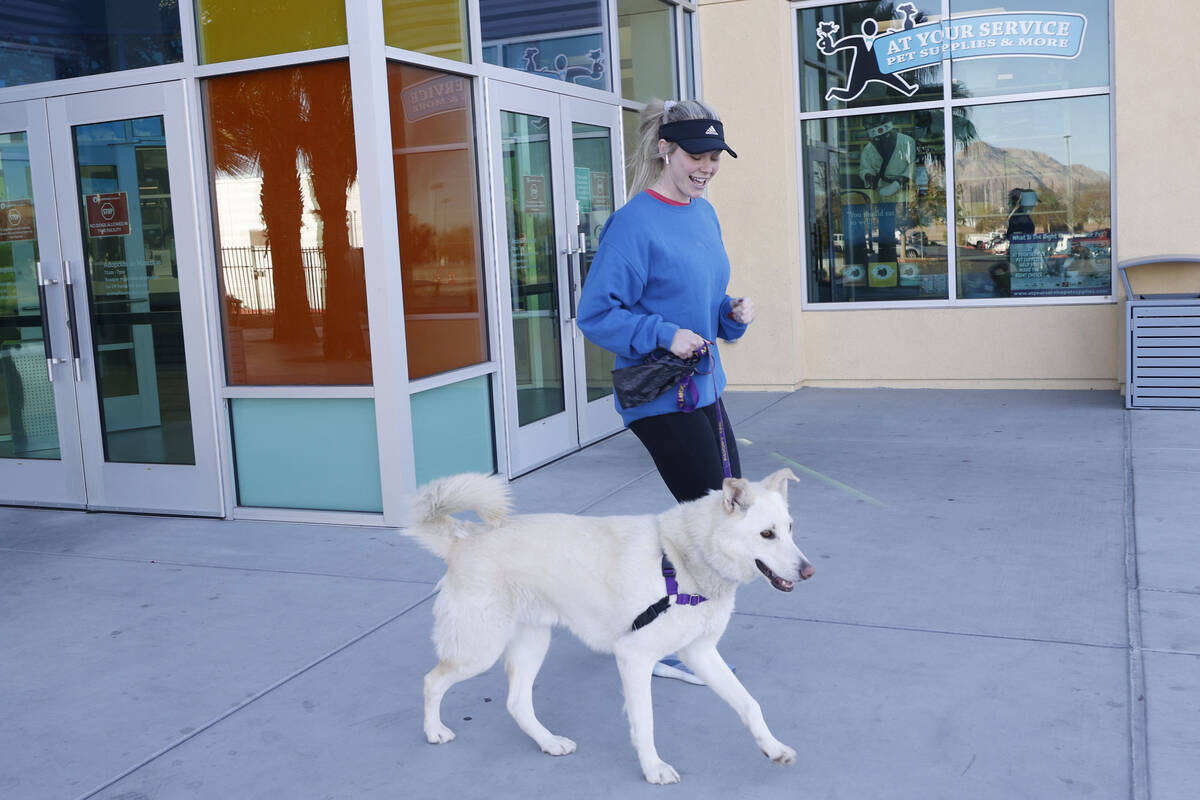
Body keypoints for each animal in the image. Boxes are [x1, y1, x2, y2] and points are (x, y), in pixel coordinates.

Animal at [405, 465, 816, 786]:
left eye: (790, 528)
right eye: (767, 534)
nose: (808, 571)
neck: (683, 559)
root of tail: (463, 539)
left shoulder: (700, 652)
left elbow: (749, 704)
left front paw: (773, 748)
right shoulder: (634, 657)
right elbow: (645, 722)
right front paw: (653, 770)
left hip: (532, 643)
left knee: (517, 703)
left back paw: (549, 742)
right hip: (479, 650)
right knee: (431, 681)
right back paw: (433, 731)